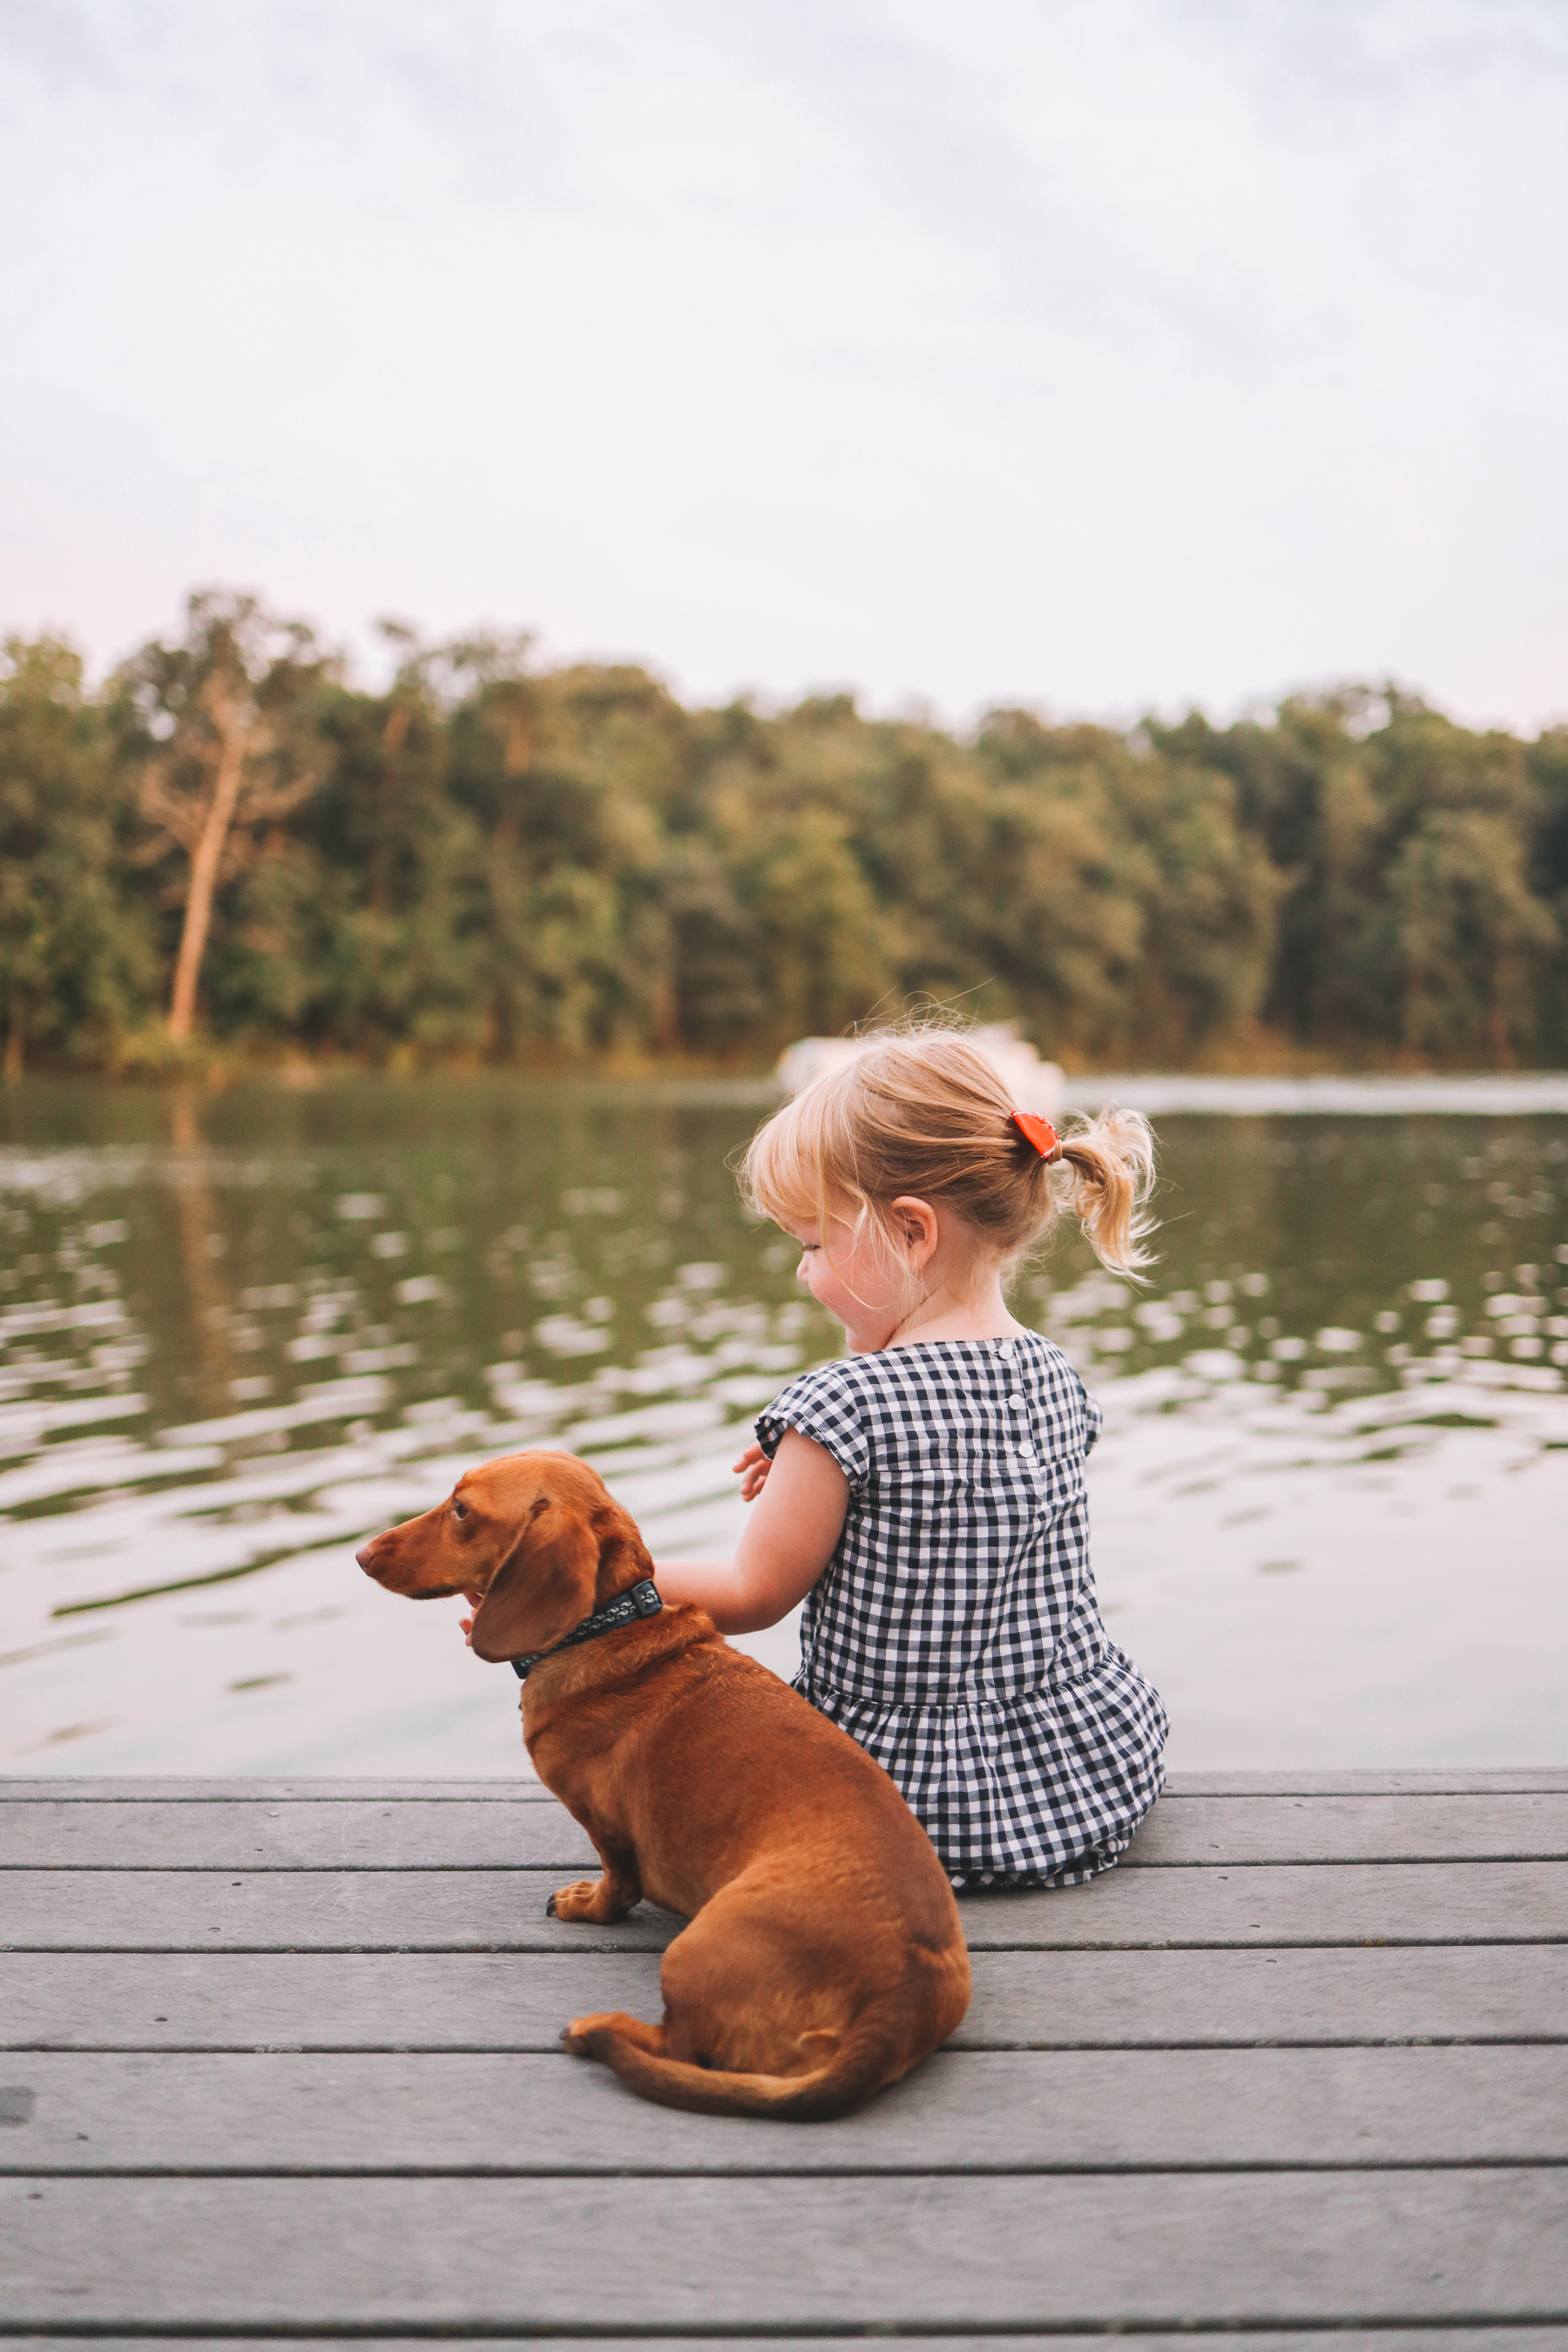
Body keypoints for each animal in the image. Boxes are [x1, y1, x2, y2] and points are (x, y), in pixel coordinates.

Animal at [359, 1439, 968, 2126]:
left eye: (462, 1509)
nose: (362, 1554)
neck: (609, 1628)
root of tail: (898, 1999)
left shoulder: (602, 1824)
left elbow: (618, 1884)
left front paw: (586, 1904)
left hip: (691, 1951)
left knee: (677, 2046)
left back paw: (597, 2029)